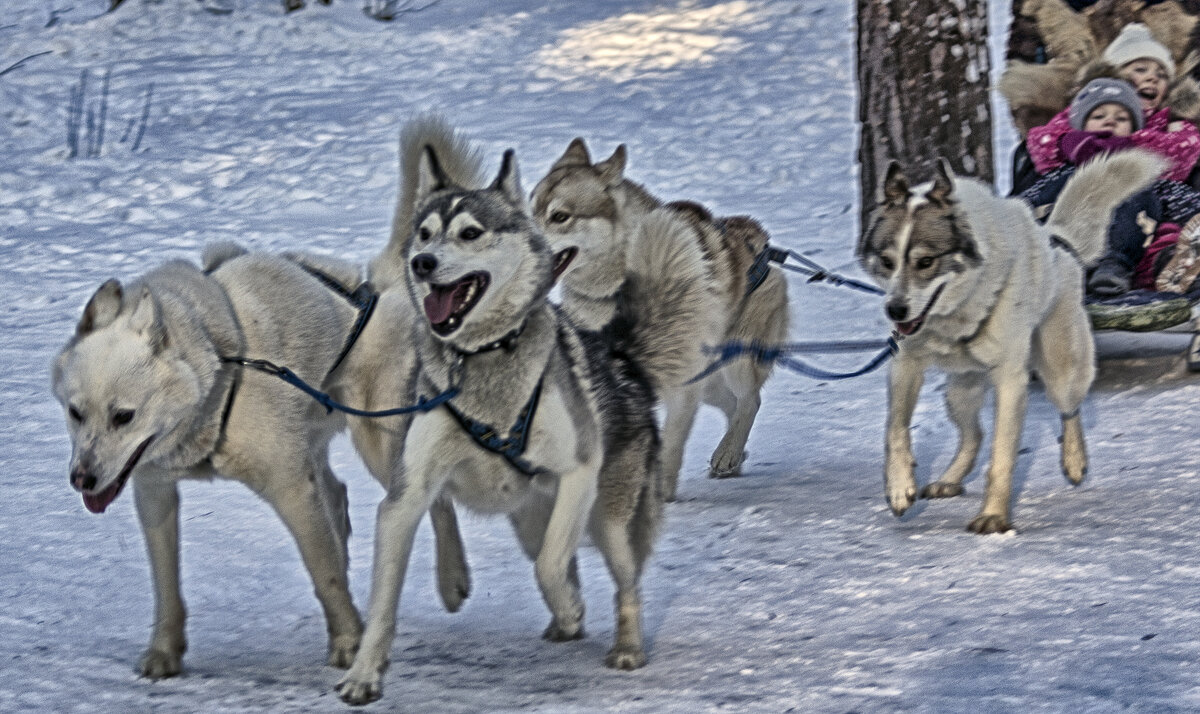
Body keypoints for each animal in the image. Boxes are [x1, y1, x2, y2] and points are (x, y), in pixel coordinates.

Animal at [333, 132, 662, 705]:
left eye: (470, 233)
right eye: (424, 233)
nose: (421, 262)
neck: (484, 358)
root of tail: (623, 363)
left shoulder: (579, 469)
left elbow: (551, 567)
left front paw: (569, 607)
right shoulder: (405, 498)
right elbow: (383, 603)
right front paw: (364, 675)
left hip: (608, 519)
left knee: (623, 580)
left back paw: (624, 645)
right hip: (532, 519)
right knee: (556, 553)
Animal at [530, 138, 792, 496]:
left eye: (560, 216)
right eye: (530, 210)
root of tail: (762, 241)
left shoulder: (682, 388)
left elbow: (671, 444)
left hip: (736, 359)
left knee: (749, 401)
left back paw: (728, 451)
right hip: (707, 381)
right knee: (731, 404)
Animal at [859, 149, 1166, 530]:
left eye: (926, 261)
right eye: (887, 262)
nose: (895, 310)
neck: (958, 313)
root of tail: (1058, 242)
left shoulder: (1010, 381)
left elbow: (1002, 457)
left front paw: (993, 516)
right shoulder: (905, 364)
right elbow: (896, 429)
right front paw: (900, 488)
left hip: (1062, 370)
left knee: (1070, 411)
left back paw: (1074, 460)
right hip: (959, 391)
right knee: (974, 434)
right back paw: (949, 479)